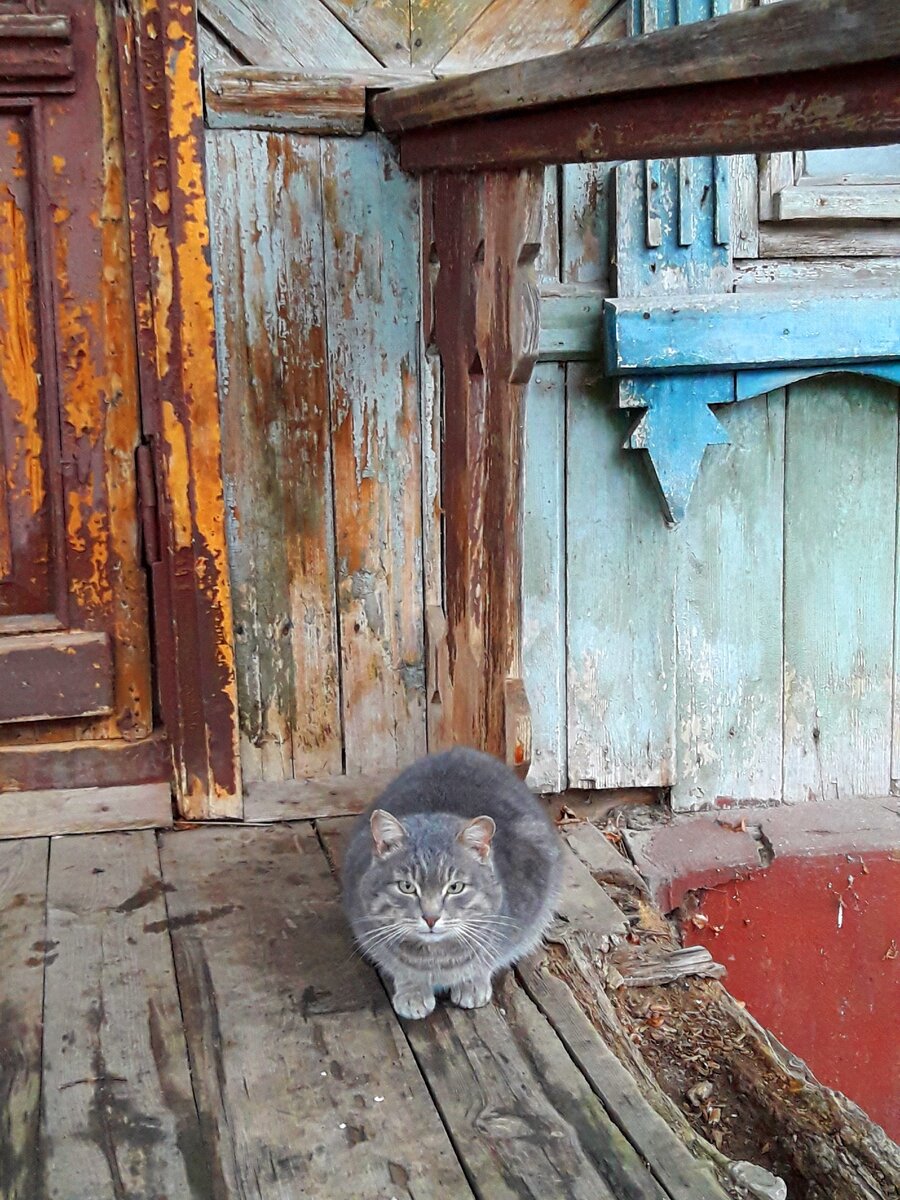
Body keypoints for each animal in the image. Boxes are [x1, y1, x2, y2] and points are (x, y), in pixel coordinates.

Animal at [343, 744, 564, 1017]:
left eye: (455, 887)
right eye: (407, 887)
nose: (430, 918)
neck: (435, 959)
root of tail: (463, 750)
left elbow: (487, 957)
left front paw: (472, 983)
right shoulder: (367, 929)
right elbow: (399, 966)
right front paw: (412, 991)